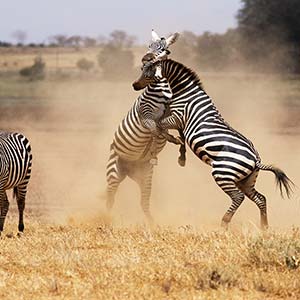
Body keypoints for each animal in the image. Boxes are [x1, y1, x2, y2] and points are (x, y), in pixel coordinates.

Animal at [132, 30, 294, 229]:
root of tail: (256, 160)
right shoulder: (179, 120)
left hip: (223, 173)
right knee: (260, 198)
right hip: (246, 180)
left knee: (238, 197)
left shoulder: (178, 116)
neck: (184, 91)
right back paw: (264, 227)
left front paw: (169, 143)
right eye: (142, 68)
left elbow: (161, 125)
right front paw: (181, 154)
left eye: (147, 71)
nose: (134, 85)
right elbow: (176, 134)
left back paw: (224, 223)